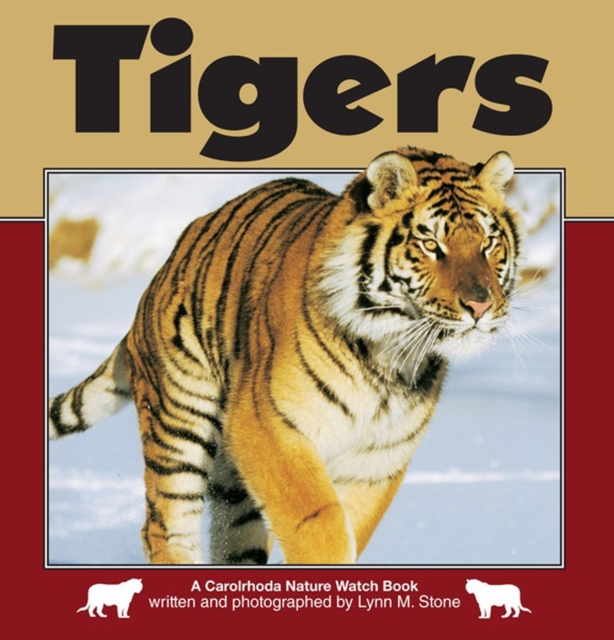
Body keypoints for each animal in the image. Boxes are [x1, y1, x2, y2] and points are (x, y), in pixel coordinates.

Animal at [49, 145, 521, 565]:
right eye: (431, 245)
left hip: (234, 491)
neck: (390, 355)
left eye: (488, 243)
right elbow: (321, 524)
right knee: (163, 526)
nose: (480, 305)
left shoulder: (378, 456)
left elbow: (350, 527)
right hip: (179, 423)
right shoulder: (267, 423)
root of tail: (164, 270)